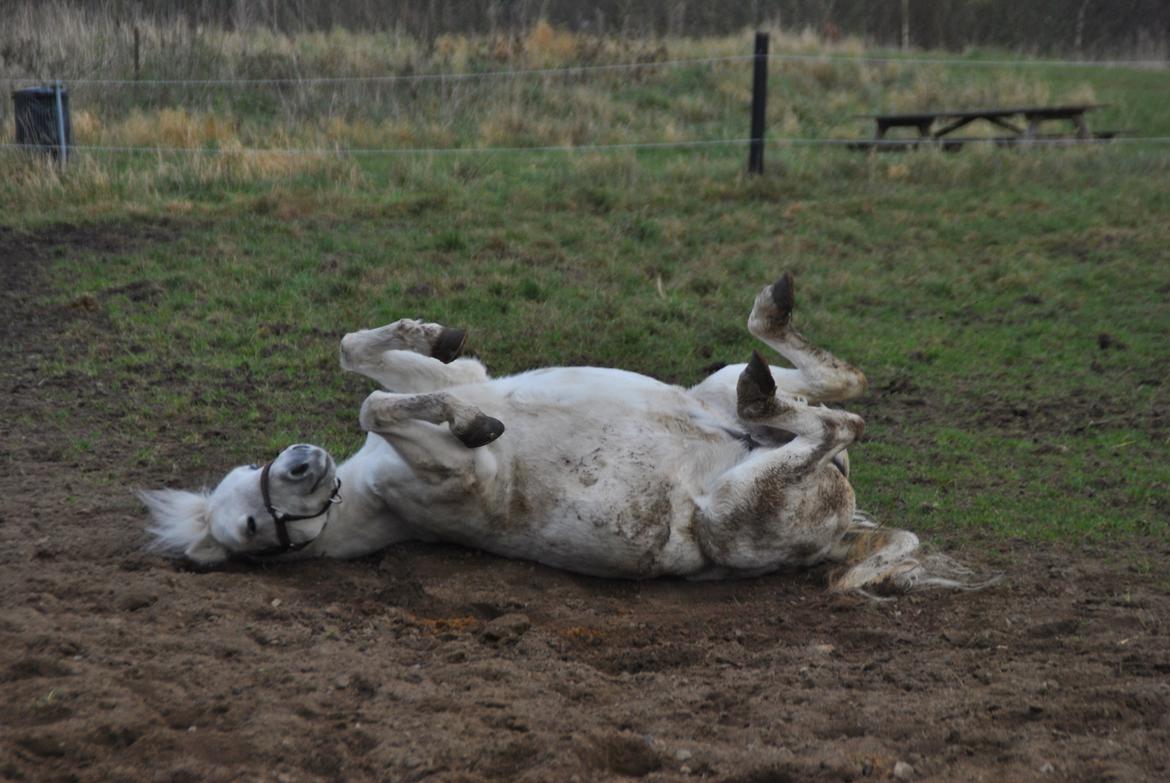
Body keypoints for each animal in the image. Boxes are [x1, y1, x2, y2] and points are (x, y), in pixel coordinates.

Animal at [141, 275, 992, 592]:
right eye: (254, 528)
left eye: (247, 497)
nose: (298, 465)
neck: (369, 488)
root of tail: (847, 520)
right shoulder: (459, 479)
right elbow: (378, 404)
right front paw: (476, 423)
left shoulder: (459, 378)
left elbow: (364, 358)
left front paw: (428, 333)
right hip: (736, 509)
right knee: (837, 419)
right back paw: (766, 385)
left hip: (714, 388)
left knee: (832, 393)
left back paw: (769, 323)